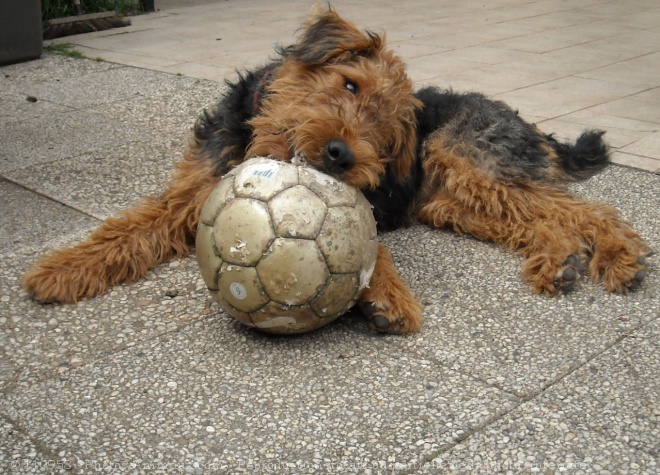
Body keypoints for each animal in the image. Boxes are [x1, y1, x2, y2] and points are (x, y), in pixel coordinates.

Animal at [21, 8, 648, 334]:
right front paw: (60, 271)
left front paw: (386, 299)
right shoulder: (194, 192)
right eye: (349, 84)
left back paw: (620, 257)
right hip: (452, 200)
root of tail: (524, 119)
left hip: (473, 168)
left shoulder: (360, 207)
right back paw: (561, 261)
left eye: (387, 133)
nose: (341, 155)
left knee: (588, 209)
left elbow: (370, 253)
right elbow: (125, 230)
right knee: (545, 217)